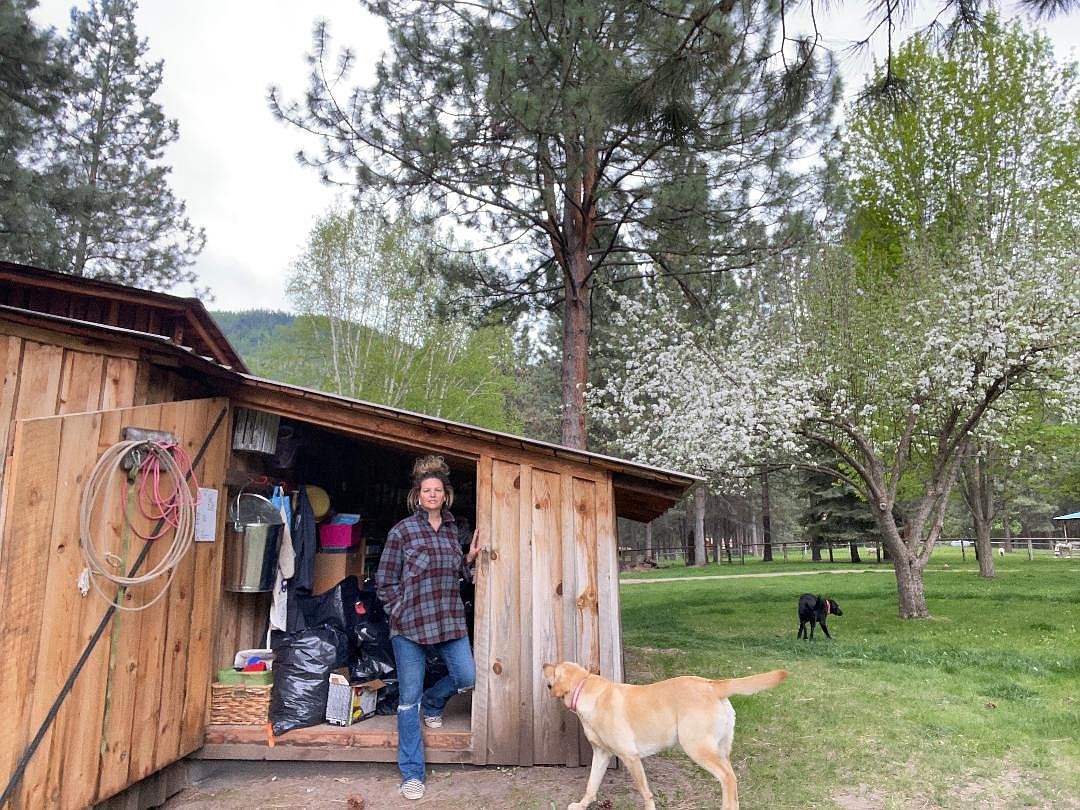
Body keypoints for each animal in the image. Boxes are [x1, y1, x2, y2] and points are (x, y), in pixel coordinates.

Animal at [540, 660, 786, 807]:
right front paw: (582, 805)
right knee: (732, 779)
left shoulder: (630, 757)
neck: (586, 690)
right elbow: (591, 785)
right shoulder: (601, 754)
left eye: (555, 668)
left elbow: (644, 792)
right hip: (721, 751)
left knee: (727, 778)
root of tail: (712, 685)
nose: (543, 663)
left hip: (697, 748)